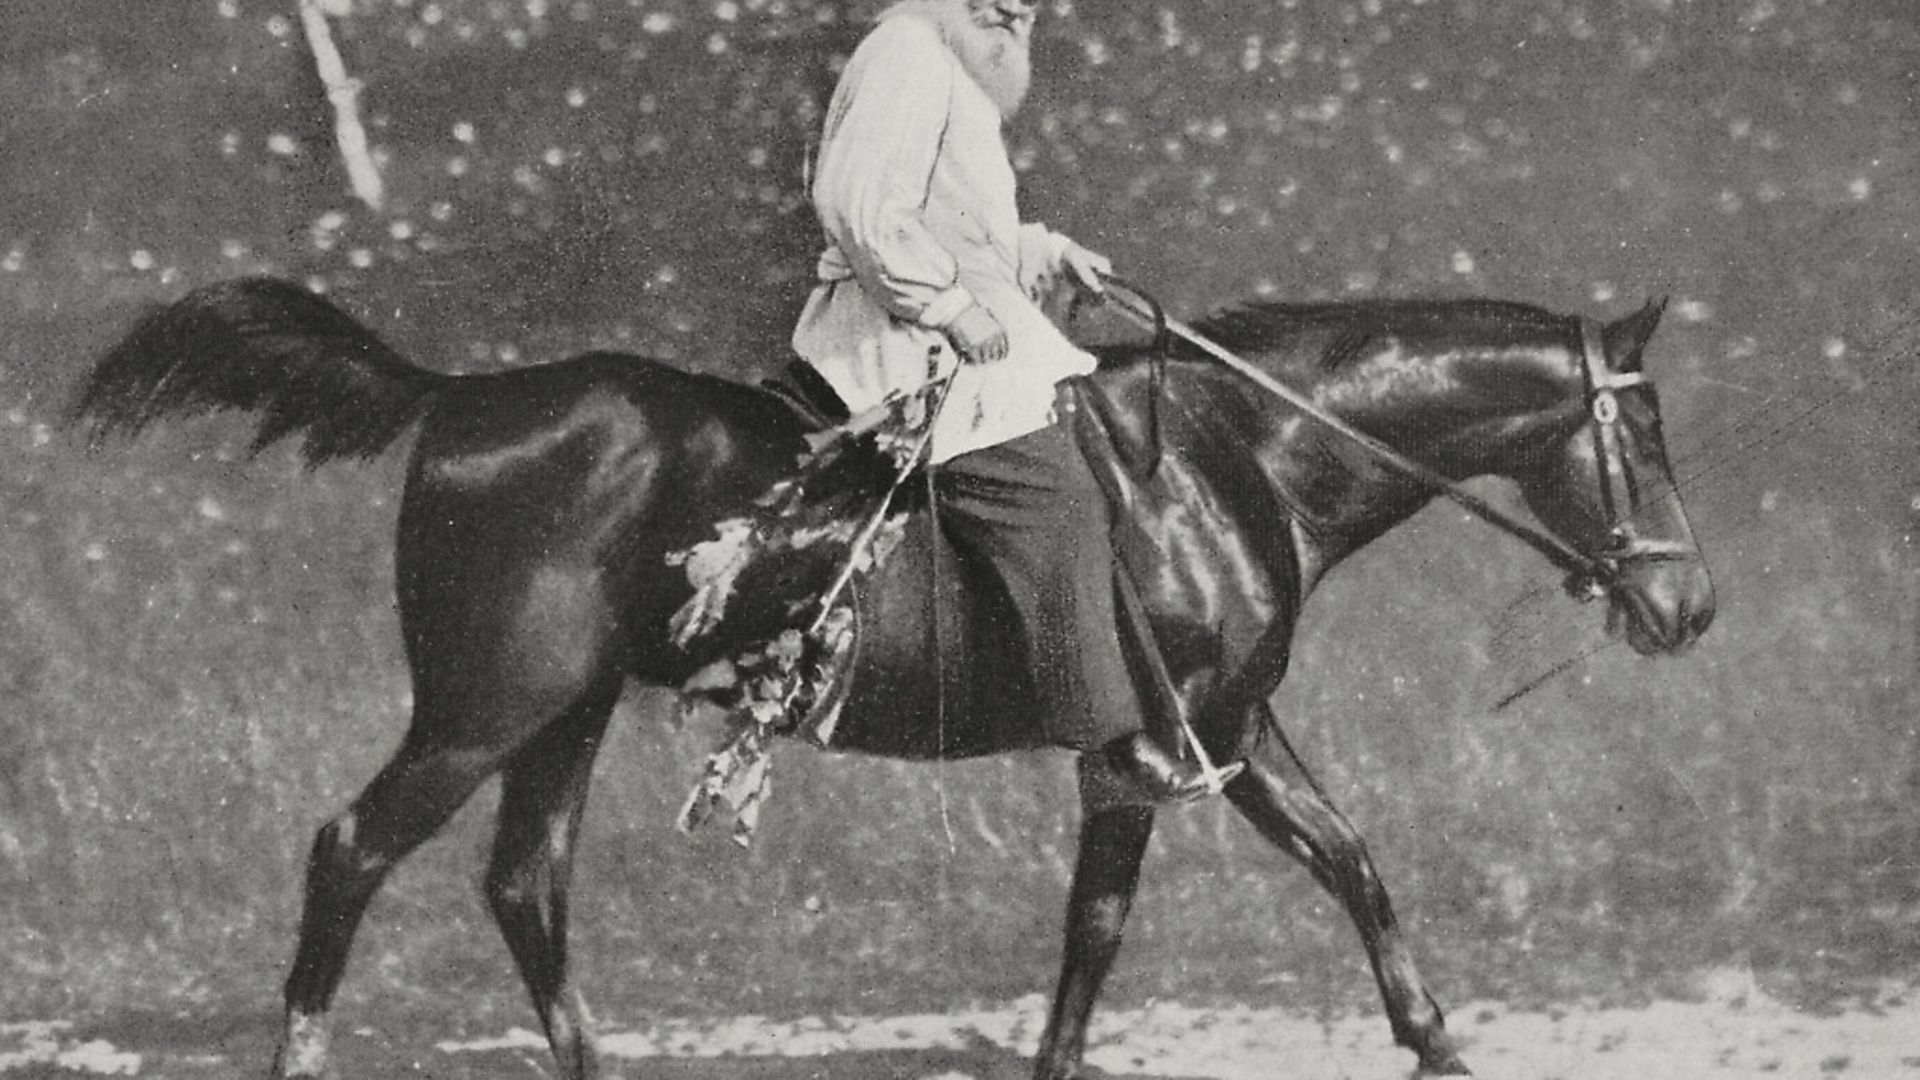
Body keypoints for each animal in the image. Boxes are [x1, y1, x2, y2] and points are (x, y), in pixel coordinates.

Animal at [74, 278, 1720, 1076]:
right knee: (351, 850)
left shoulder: (1233, 736)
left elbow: (1357, 868)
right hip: (482, 713)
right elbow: (1095, 939)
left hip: (563, 718)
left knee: (525, 885)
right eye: (1639, 433)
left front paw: (1438, 1045)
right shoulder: (1137, 759)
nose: (1688, 604)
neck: (1232, 463)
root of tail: (464, 398)